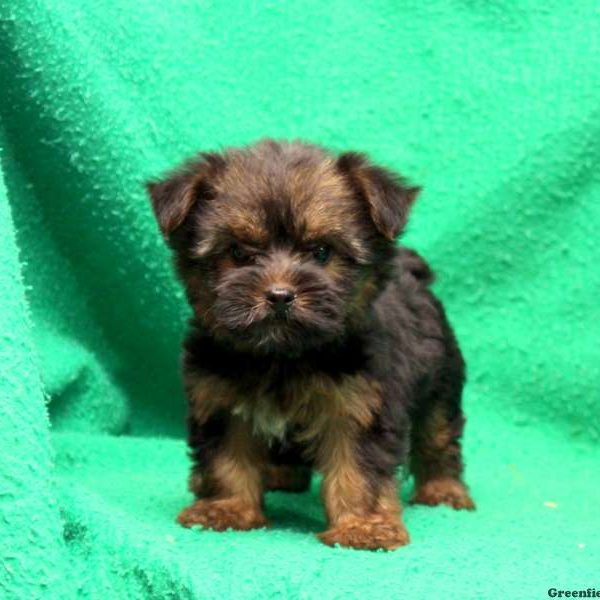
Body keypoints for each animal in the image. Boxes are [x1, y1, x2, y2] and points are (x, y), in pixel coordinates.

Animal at [148, 138, 476, 552]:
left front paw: (363, 526)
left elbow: (359, 469)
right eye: (238, 253)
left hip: (441, 378)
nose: (279, 295)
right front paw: (226, 508)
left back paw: (444, 489)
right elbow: (226, 458)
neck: (283, 357)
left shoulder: (360, 404)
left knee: (438, 433)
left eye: (321, 252)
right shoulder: (219, 398)